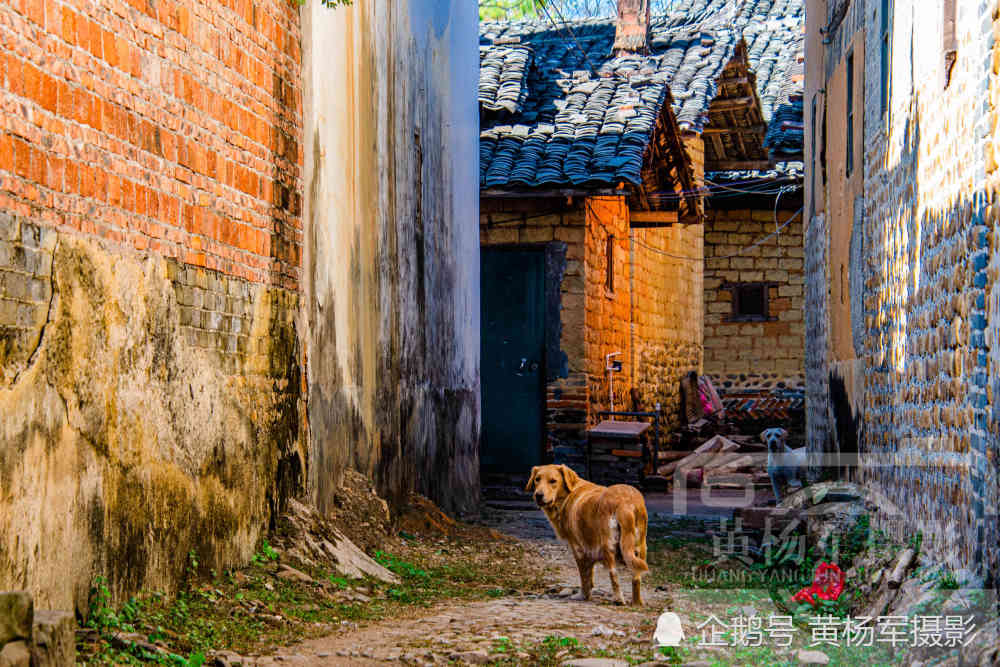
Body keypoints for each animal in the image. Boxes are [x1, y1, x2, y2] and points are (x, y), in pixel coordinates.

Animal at [524, 464, 648, 604]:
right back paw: (637, 603)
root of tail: (625, 501)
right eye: (537, 479)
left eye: (553, 481)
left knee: (613, 574)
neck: (567, 494)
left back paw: (618, 599)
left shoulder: (578, 548)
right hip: (640, 547)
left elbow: (584, 576)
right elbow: (590, 574)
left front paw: (583, 595)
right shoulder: (590, 547)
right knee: (636, 577)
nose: (538, 495)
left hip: (608, 545)